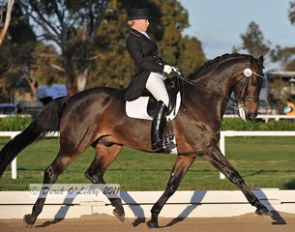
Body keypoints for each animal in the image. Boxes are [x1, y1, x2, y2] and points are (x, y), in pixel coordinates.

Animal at [0, 52, 272, 227]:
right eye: (253, 80)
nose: (251, 114)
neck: (199, 100)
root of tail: (72, 98)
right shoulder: (207, 149)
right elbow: (234, 174)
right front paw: (262, 208)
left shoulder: (188, 154)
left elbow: (172, 185)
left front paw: (153, 217)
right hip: (73, 145)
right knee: (52, 172)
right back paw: (32, 217)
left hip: (110, 146)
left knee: (93, 173)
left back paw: (120, 210)